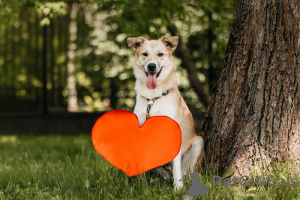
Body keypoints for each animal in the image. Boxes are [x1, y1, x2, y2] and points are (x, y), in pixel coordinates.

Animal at [126, 36, 206, 191]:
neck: (152, 97)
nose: (151, 66)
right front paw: (137, 184)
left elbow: (176, 167)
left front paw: (178, 188)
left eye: (160, 54)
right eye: (145, 54)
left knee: (186, 173)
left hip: (198, 143)